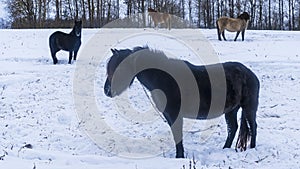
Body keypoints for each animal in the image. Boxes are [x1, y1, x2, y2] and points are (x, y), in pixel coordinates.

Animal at [104, 46, 258, 158]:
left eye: (120, 68)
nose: (107, 90)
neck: (164, 78)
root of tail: (249, 73)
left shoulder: (175, 114)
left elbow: (178, 136)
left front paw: (179, 157)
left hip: (249, 108)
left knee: (253, 127)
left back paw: (252, 148)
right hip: (231, 110)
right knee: (233, 128)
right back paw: (225, 148)